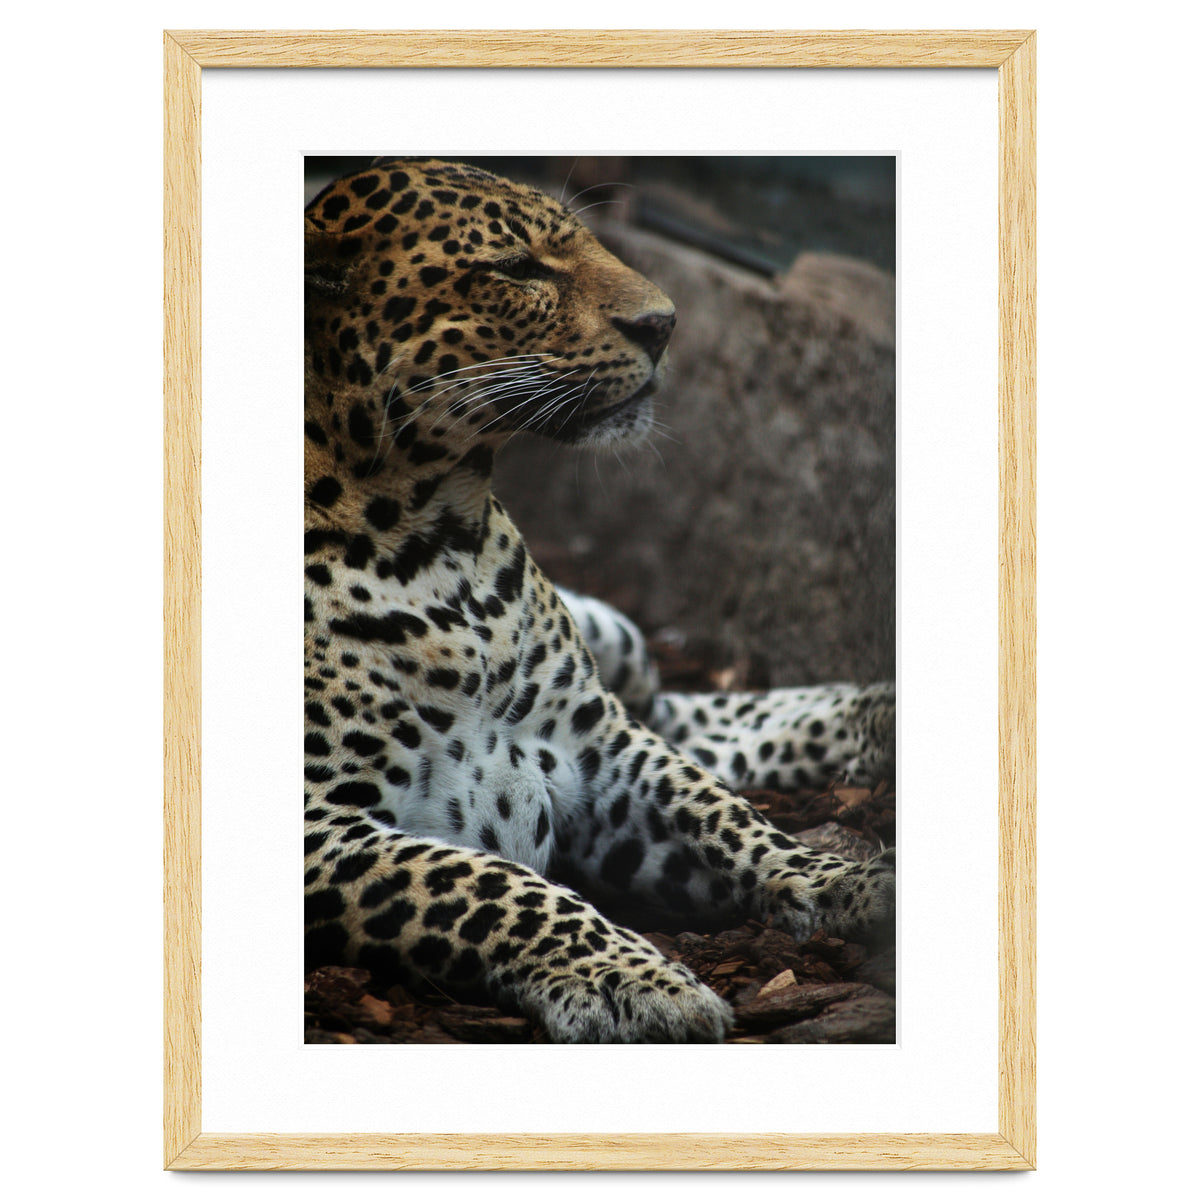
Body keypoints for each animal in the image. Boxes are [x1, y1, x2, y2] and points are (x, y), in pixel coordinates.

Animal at [303, 158, 896, 1043]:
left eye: (582, 241)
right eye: (517, 269)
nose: (665, 324)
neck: (439, 540)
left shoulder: (598, 746)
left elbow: (723, 814)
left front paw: (847, 881)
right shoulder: (319, 827)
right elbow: (490, 885)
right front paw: (634, 981)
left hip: (618, 650)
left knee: (679, 714)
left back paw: (877, 714)